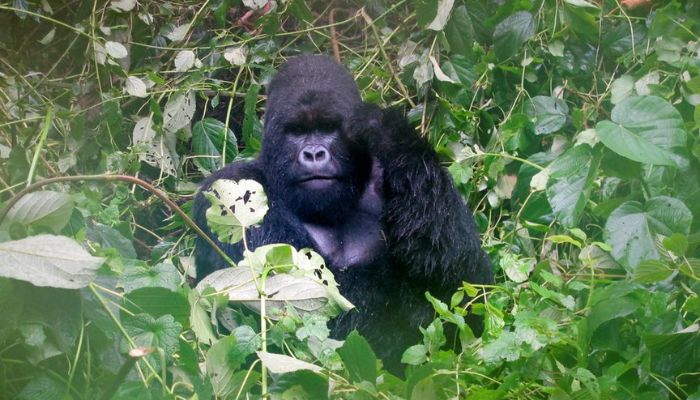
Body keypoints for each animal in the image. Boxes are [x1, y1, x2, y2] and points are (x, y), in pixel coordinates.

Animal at [194, 54, 494, 368]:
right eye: (296, 132)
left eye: (328, 128)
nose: (314, 154)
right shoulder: (229, 189)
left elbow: (467, 280)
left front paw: (388, 132)